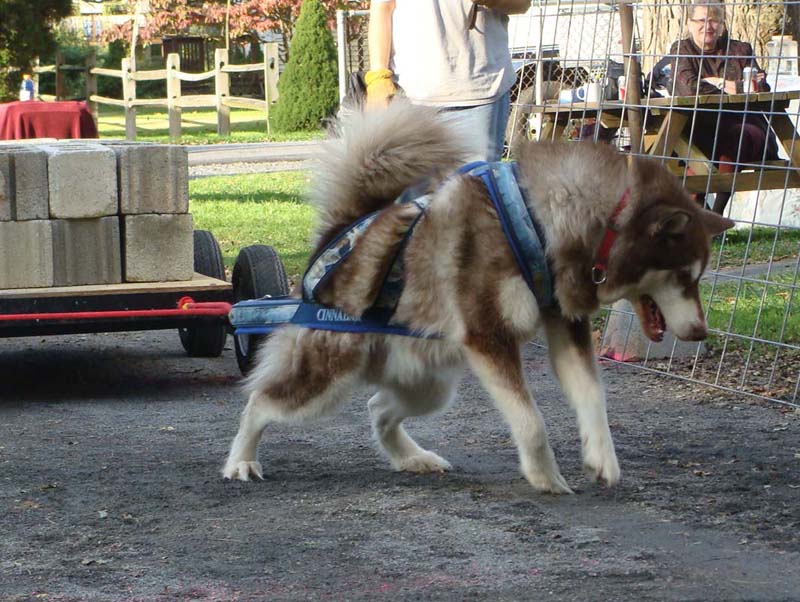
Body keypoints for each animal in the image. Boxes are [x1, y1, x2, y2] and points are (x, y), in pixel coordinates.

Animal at [222, 101, 736, 490]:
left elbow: (592, 396)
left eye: (698, 277)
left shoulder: (564, 324)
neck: (541, 219)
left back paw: (412, 457)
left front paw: (601, 457)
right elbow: (530, 422)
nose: (700, 331)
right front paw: (545, 476)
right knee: (260, 402)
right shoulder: (488, 338)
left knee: (379, 409)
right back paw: (242, 459)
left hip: (430, 383)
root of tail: (335, 237)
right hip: (328, 377)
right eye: (684, 276)